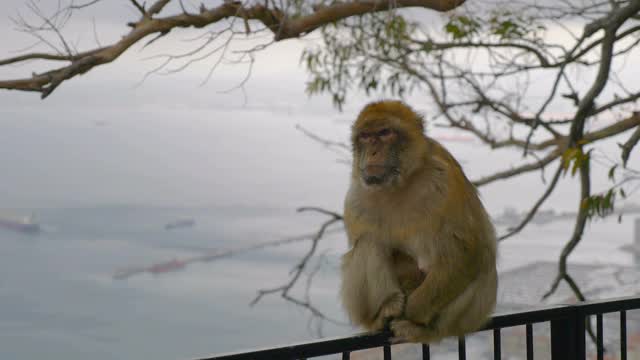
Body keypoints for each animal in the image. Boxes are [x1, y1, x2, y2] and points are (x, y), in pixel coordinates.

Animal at [340, 99, 496, 344]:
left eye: (384, 133)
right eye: (365, 136)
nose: (373, 151)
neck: (400, 183)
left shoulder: (445, 180)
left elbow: (466, 251)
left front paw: (412, 312)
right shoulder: (357, 196)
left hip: (466, 318)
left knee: (480, 261)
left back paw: (423, 329)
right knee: (368, 243)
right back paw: (384, 312)